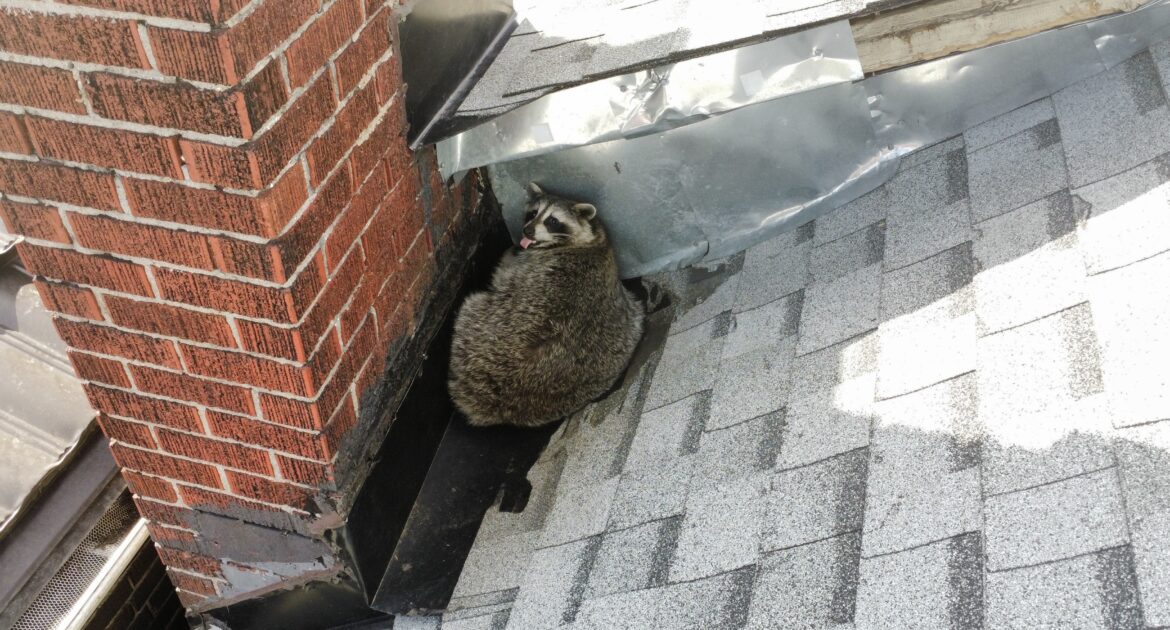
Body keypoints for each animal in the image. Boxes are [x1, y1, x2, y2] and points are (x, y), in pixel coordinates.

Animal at [448, 183, 645, 428]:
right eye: (533, 213)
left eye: (552, 220)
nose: (527, 231)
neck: (592, 240)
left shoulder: (527, 264)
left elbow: (505, 270)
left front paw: (510, 251)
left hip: (478, 326)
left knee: (472, 307)